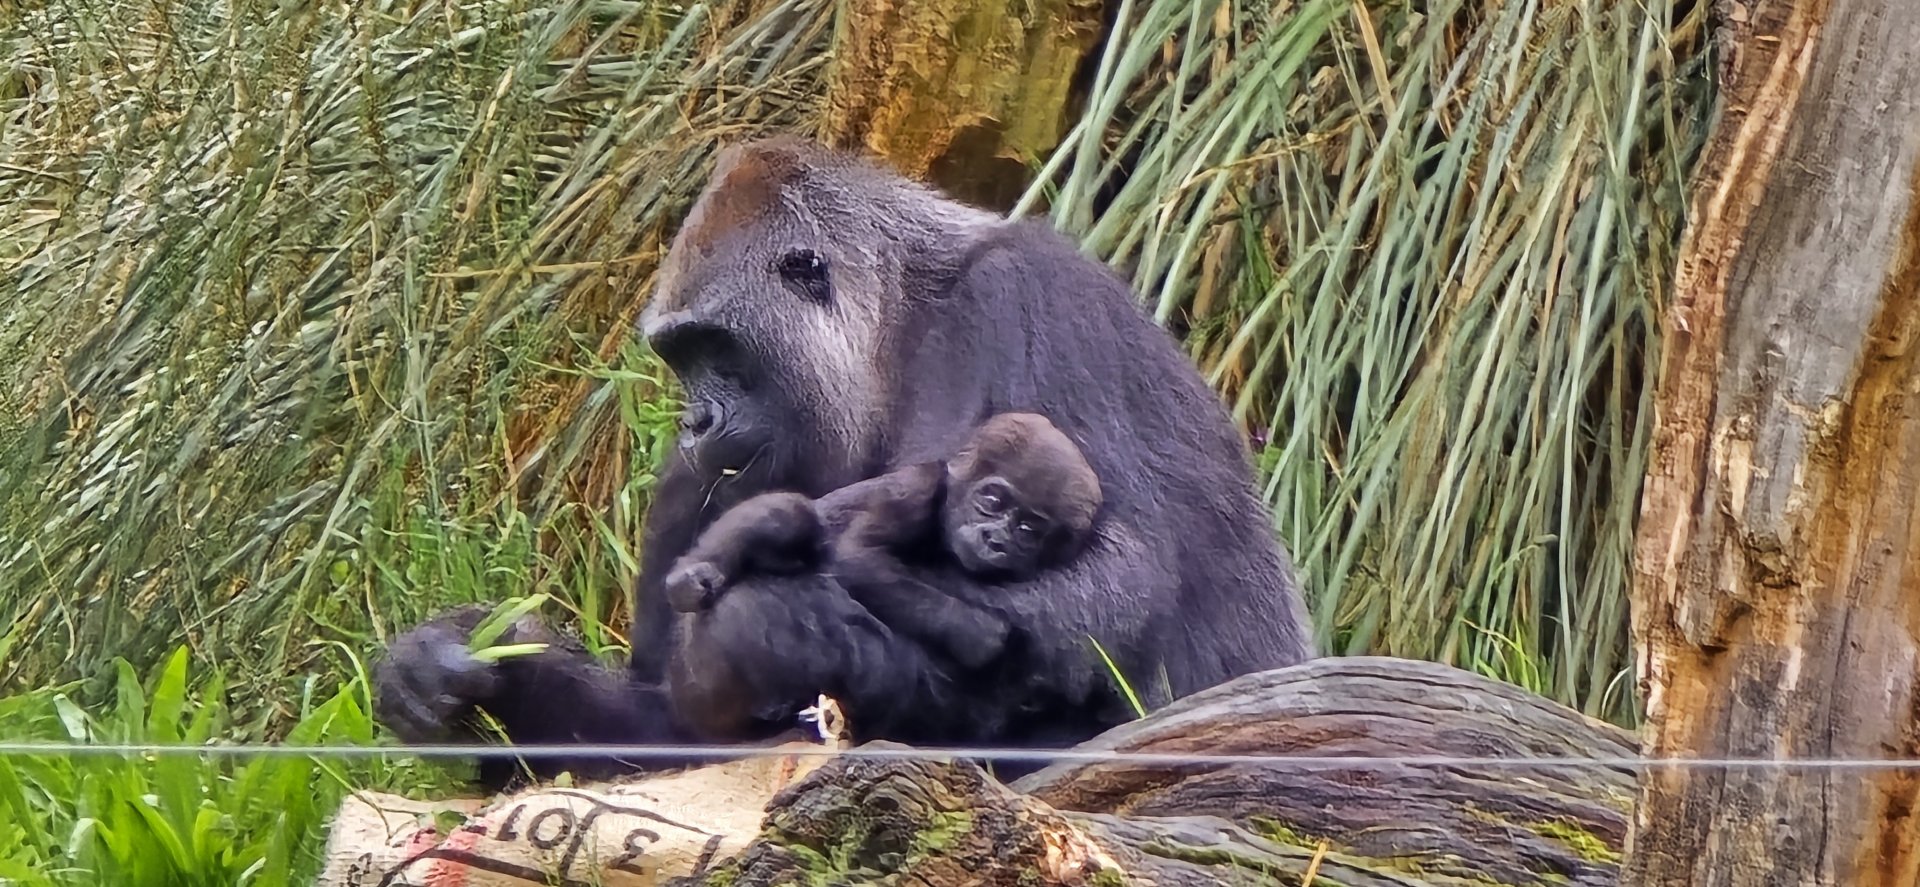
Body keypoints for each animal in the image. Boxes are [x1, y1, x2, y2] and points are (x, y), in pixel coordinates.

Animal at [659, 412, 1104, 671]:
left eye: (1027, 530)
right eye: (992, 501)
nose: (995, 539)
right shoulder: (915, 492)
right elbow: (858, 559)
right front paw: (981, 635)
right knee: (788, 516)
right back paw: (695, 574)